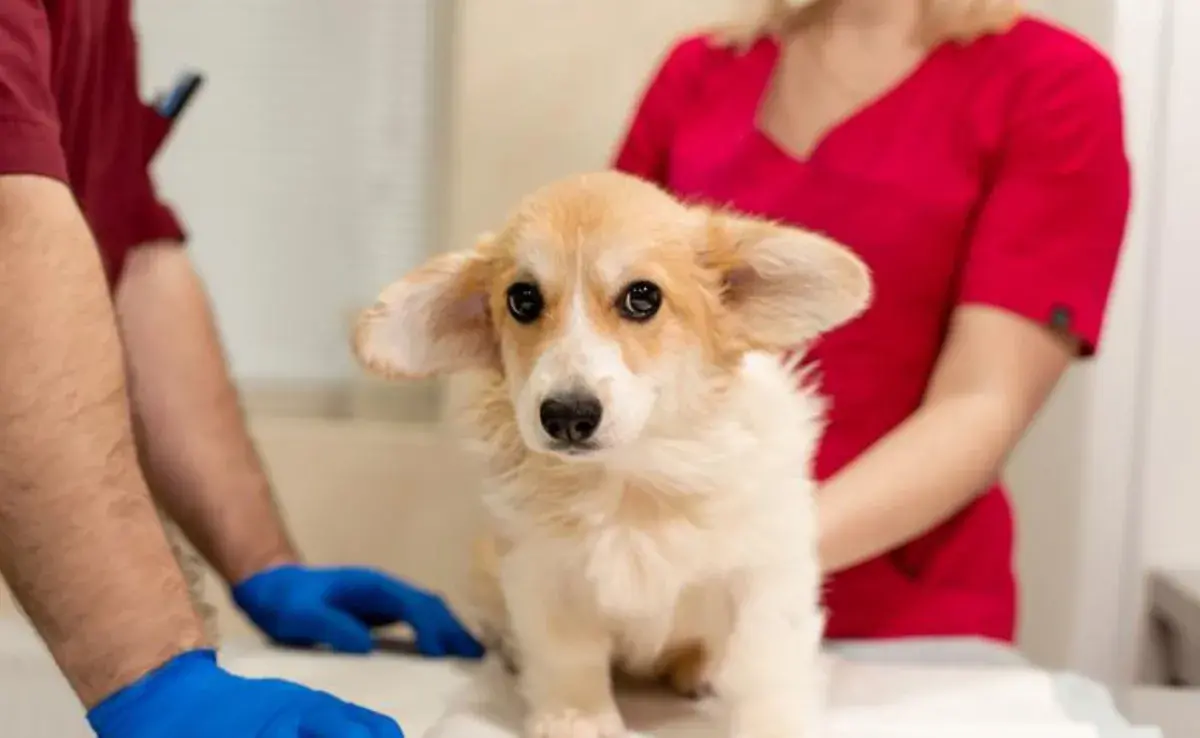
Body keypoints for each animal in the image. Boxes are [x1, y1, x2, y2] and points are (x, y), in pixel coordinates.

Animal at [350, 171, 868, 738]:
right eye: (522, 299)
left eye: (642, 297)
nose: (567, 416)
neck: (630, 477)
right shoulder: (543, 572)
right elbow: (567, 657)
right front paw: (577, 719)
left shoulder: (766, 570)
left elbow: (764, 664)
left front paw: (770, 722)